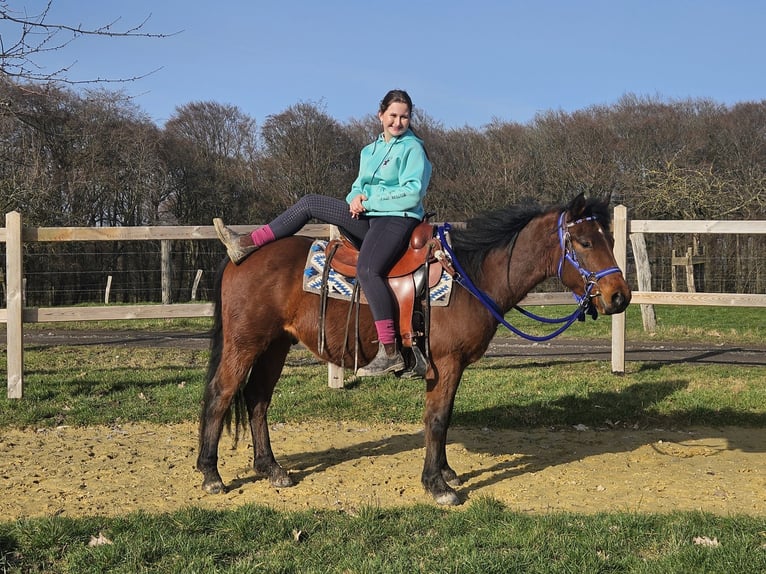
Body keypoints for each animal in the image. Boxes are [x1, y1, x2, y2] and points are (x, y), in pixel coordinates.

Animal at [197, 193, 632, 505]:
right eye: (585, 241)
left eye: (610, 239)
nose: (620, 296)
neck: (471, 277)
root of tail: (237, 260)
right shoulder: (446, 363)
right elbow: (436, 421)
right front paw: (438, 486)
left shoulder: (451, 368)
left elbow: (444, 419)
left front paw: (446, 472)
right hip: (245, 344)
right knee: (221, 395)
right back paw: (211, 474)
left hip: (275, 346)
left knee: (257, 400)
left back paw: (271, 469)